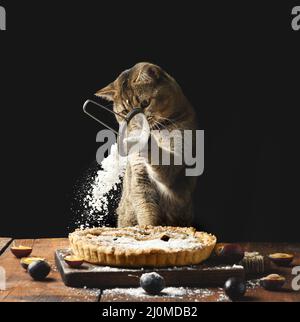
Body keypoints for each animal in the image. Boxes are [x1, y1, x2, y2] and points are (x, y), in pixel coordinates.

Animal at [96, 61, 199, 226]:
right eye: (124, 112)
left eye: (145, 103)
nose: (137, 122)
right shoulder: (140, 177)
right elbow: (146, 211)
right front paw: (147, 228)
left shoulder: (178, 158)